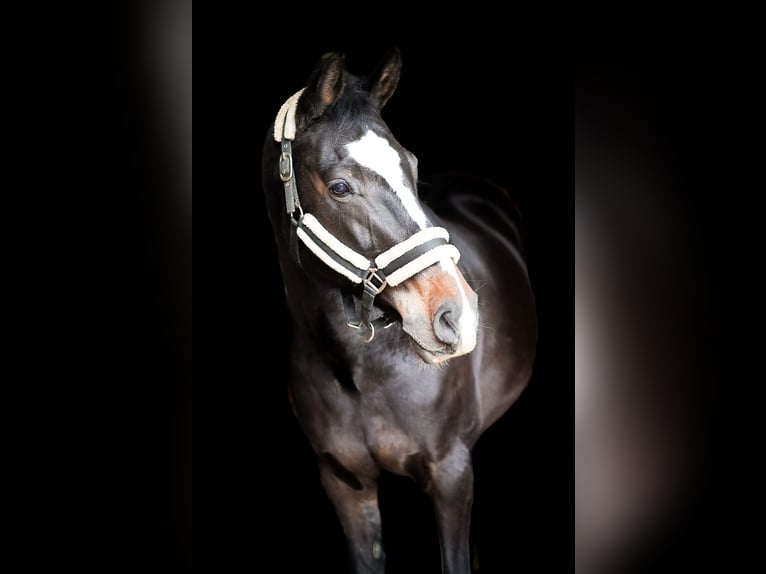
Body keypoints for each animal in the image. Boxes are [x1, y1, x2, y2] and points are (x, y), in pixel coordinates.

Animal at [261, 49, 537, 574]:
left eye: (411, 164)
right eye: (340, 187)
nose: (458, 314)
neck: (363, 372)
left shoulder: (452, 473)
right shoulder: (345, 485)